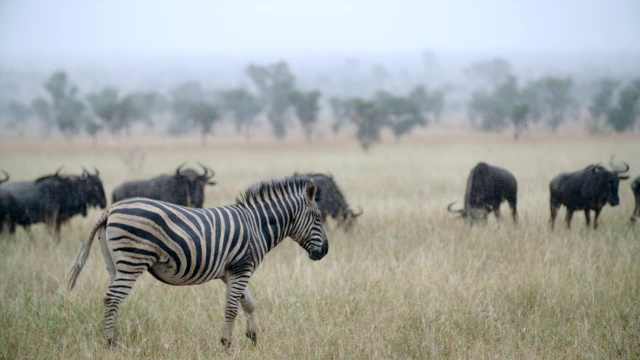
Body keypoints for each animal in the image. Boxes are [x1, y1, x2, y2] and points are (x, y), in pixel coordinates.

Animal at [68, 176, 330, 348]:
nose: (325, 251)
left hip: (115, 264)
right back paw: (111, 342)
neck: (257, 225)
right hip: (133, 259)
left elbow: (249, 303)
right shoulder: (242, 269)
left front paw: (253, 338)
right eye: (318, 218)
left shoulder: (231, 272)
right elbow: (232, 307)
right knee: (112, 298)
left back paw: (115, 338)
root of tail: (110, 210)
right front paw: (226, 343)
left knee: (113, 299)